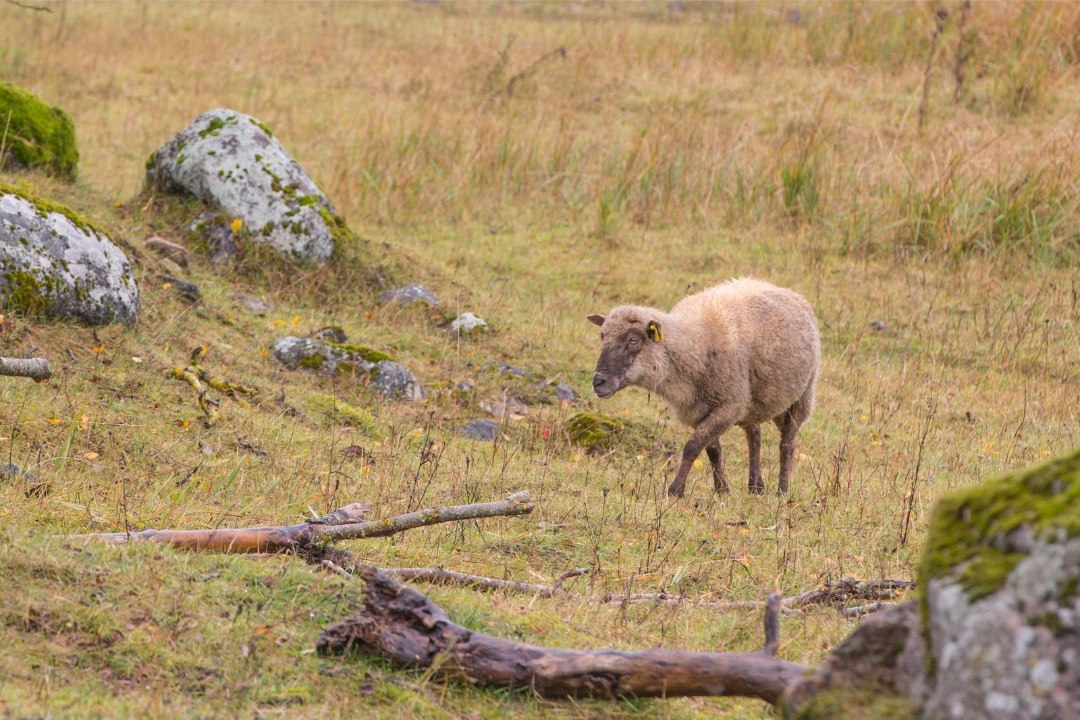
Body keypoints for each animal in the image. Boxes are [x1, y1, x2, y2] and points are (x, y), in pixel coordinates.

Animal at [591, 278, 816, 498]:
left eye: (633, 340)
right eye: (602, 336)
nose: (598, 382)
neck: (694, 345)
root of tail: (785, 290)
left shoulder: (728, 406)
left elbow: (692, 447)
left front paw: (675, 491)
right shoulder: (699, 410)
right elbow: (712, 449)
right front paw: (722, 490)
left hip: (802, 397)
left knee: (787, 444)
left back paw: (782, 491)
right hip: (751, 401)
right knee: (755, 435)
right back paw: (755, 487)